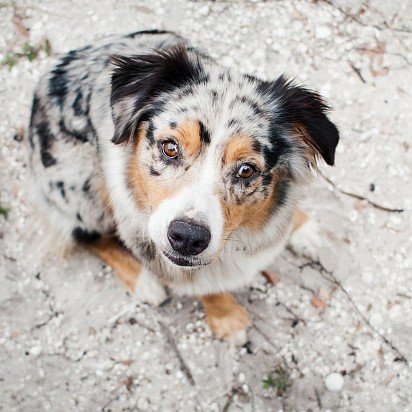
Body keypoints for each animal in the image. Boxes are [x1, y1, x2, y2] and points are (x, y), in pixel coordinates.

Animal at [27, 29, 340, 344]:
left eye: (246, 170)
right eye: (170, 147)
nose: (188, 238)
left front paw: (300, 225)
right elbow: (202, 283)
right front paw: (226, 317)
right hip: (83, 186)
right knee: (88, 235)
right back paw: (143, 282)